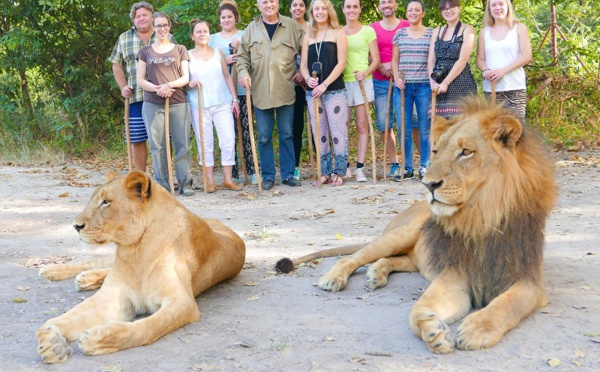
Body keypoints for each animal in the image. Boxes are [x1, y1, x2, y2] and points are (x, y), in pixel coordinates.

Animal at [36, 172, 246, 364]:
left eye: (106, 202)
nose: (75, 226)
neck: (136, 252)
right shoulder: (113, 295)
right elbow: (74, 315)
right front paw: (50, 338)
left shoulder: (182, 303)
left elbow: (148, 327)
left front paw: (100, 339)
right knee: (96, 263)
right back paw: (53, 271)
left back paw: (84, 279)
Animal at [276, 97, 556, 354]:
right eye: (436, 151)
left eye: (466, 152)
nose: (428, 185)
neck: (481, 216)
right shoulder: (455, 275)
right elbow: (418, 308)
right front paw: (433, 330)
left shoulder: (529, 282)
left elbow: (507, 304)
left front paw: (477, 328)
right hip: (402, 233)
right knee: (356, 256)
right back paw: (334, 277)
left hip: (415, 256)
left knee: (394, 260)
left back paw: (376, 274)